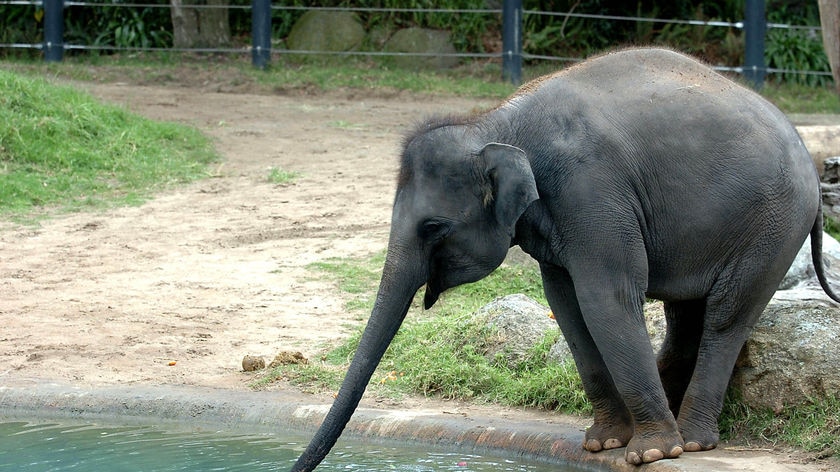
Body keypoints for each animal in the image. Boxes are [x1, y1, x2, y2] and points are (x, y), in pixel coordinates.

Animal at [288, 47, 840, 468]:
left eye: (433, 228)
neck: (493, 122)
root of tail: (811, 163)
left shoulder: (591, 190)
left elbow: (605, 297)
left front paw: (648, 453)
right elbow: (565, 302)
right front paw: (604, 442)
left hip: (773, 225)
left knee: (726, 316)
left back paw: (692, 440)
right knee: (686, 313)